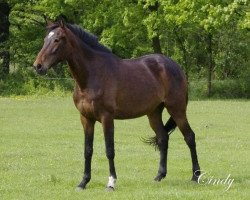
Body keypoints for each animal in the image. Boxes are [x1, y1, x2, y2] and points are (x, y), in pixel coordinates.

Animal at [33, 21, 201, 191]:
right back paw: (159, 175)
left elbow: (109, 150)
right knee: (163, 138)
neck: (92, 75)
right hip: (153, 113)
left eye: (57, 40)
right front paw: (83, 182)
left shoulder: (107, 118)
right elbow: (88, 150)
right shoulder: (86, 118)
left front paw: (111, 182)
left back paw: (195, 176)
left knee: (189, 137)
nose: (38, 66)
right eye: (45, 39)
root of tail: (175, 66)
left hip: (177, 109)